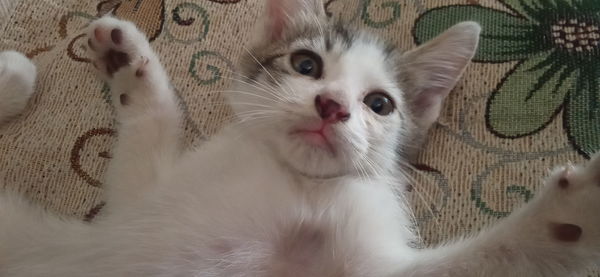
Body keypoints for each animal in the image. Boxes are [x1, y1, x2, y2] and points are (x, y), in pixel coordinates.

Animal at [1, 0, 600, 276]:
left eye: (379, 104)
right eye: (306, 64)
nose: (331, 106)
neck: (299, 188)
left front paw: (564, 219)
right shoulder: (137, 211)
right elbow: (143, 149)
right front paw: (129, 65)